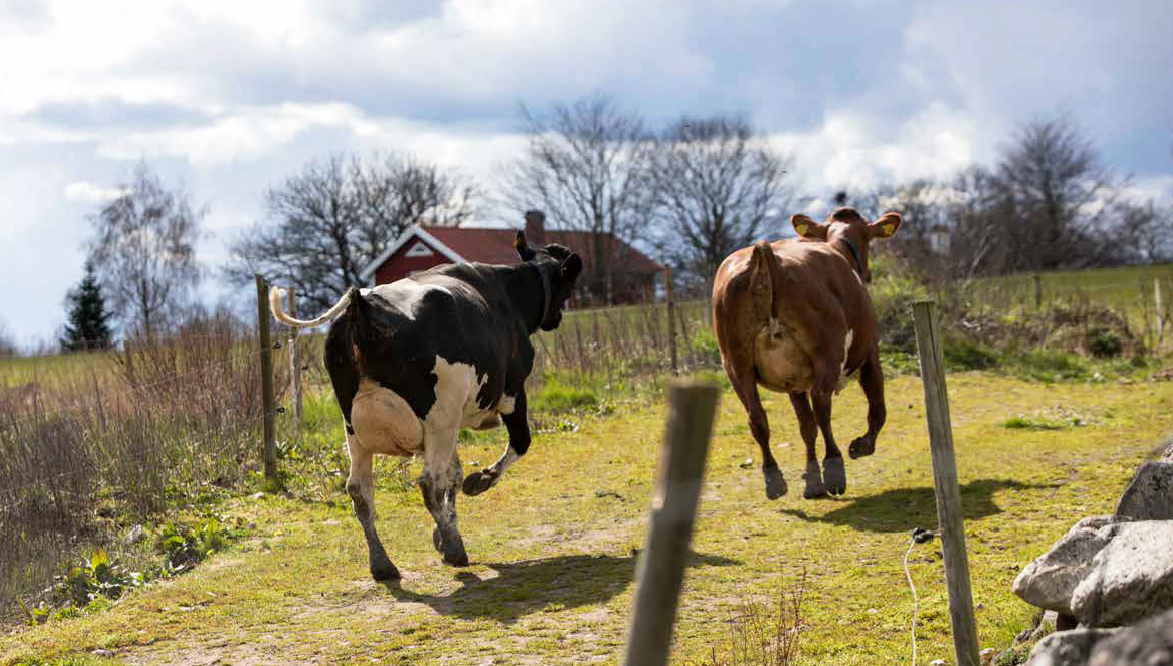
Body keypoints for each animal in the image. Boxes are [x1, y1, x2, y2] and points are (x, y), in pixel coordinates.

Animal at [268, 233, 581, 576]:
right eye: (567, 287)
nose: (557, 318)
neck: (507, 295)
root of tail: (362, 305)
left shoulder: (452, 422)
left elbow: (454, 474)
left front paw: (444, 531)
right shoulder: (510, 393)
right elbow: (517, 445)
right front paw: (478, 486)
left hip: (356, 427)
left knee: (360, 490)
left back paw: (383, 564)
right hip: (437, 418)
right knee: (430, 482)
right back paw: (455, 550)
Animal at [708, 208, 900, 499]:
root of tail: (765, 255)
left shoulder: (793, 381)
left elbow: (805, 427)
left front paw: (811, 480)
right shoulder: (870, 355)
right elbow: (877, 410)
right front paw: (861, 446)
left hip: (736, 364)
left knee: (757, 417)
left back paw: (774, 479)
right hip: (827, 354)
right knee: (822, 405)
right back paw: (834, 468)